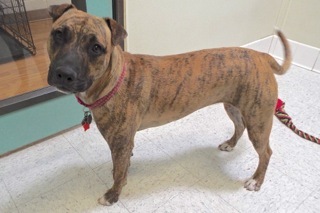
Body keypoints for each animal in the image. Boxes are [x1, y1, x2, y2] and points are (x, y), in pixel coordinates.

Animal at [48, 3, 292, 206]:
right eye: (58, 34)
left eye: (96, 48)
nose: (64, 74)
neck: (112, 80)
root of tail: (261, 55)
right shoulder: (125, 144)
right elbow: (122, 166)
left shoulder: (119, 143)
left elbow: (118, 173)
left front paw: (113, 194)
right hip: (234, 107)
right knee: (239, 126)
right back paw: (230, 144)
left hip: (258, 121)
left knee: (266, 152)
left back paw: (256, 181)